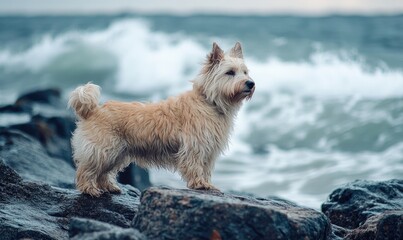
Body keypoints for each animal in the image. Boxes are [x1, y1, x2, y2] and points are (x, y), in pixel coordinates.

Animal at [68, 42, 254, 197]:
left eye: (245, 72)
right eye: (230, 72)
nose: (250, 83)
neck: (209, 102)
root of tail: (93, 110)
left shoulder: (209, 151)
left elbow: (206, 169)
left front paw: (207, 184)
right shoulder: (195, 147)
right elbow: (195, 166)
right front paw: (200, 184)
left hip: (116, 154)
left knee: (103, 173)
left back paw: (109, 187)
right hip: (103, 151)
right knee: (86, 170)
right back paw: (90, 189)